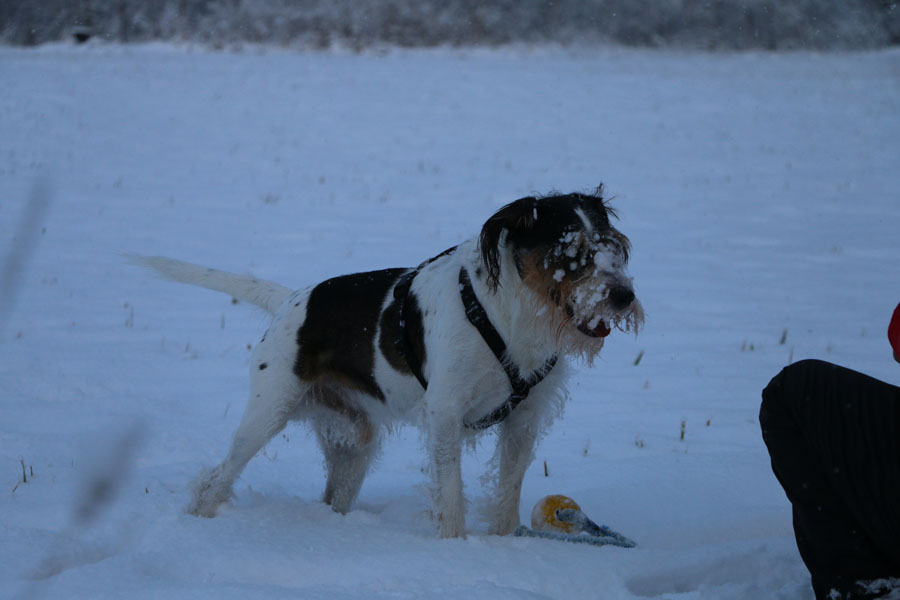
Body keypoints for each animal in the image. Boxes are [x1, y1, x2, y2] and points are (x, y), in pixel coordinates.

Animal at [134, 190, 644, 536]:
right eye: (570, 252)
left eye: (612, 246)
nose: (623, 297)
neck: (511, 316)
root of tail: (291, 300)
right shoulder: (445, 413)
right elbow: (450, 495)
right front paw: (457, 547)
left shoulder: (524, 418)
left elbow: (508, 489)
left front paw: (504, 544)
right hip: (267, 413)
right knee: (216, 477)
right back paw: (201, 519)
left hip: (354, 443)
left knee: (333, 494)